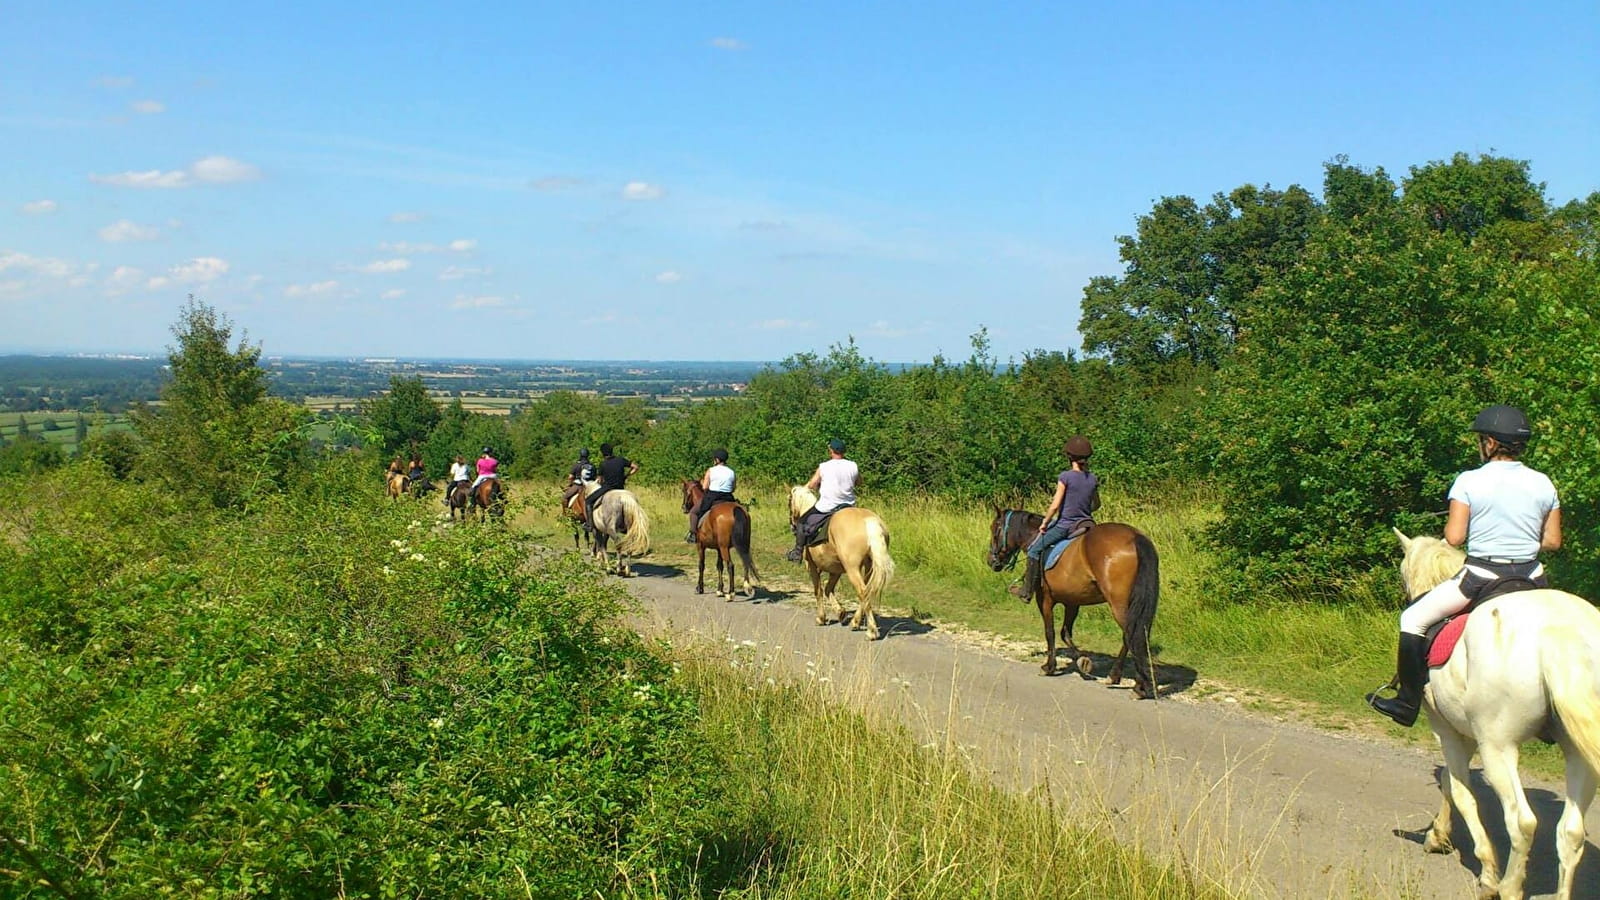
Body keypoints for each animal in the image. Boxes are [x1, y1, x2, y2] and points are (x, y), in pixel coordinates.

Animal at [790, 483, 902, 637]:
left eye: (789, 501)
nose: (792, 525)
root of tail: (869, 521)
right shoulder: (836, 570)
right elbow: (828, 589)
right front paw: (840, 613)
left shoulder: (811, 566)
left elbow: (818, 590)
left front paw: (821, 618)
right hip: (869, 566)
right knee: (866, 591)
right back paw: (855, 622)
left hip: (852, 568)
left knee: (862, 591)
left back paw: (871, 631)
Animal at [979, 506, 1158, 695]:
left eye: (994, 529)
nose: (991, 561)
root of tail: (1135, 537)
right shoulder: (1072, 602)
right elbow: (1065, 633)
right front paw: (1082, 662)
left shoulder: (1045, 599)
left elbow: (1050, 632)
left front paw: (1049, 667)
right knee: (1137, 635)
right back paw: (1120, 677)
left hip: (1119, 604)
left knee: (1131, 634)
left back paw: (1137, 685)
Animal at [1388, 525, 1600, 896]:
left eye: (1402, 572)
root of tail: (1561, 633)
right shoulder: (1466, 733)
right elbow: (1451, 782)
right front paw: (1439, 835)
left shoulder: (1447, 730)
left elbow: (1459, 790)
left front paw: (1482, 867)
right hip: (1578, 754)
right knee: (1571, 832)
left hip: (1498, 748)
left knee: (1521, 821)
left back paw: (1507, 886)